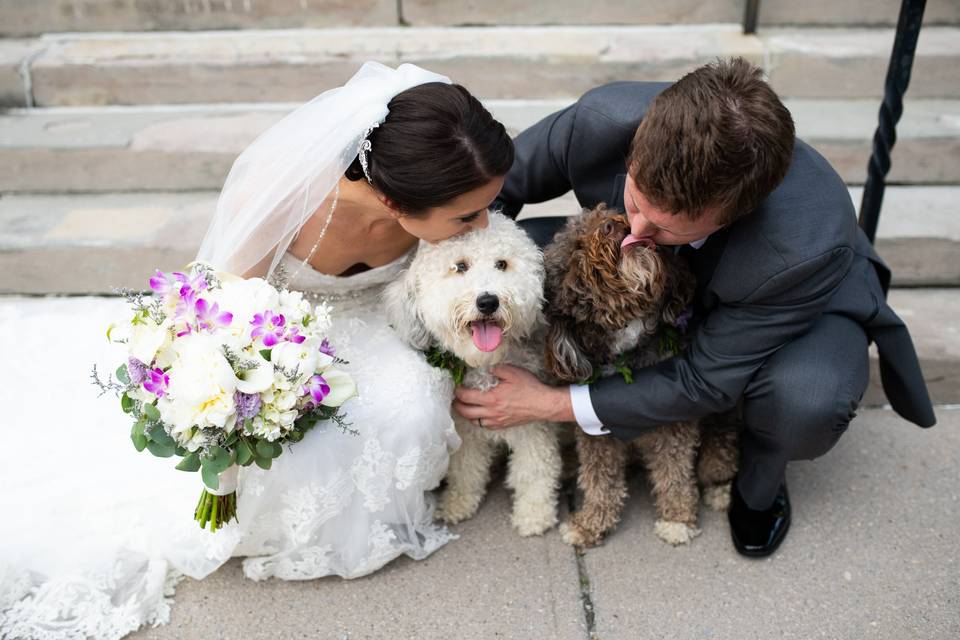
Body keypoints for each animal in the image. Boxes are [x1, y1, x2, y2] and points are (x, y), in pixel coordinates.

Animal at [384, 214, 564, 536]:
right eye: (460, 266)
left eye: (502, 264)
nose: (488, 301)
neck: (487, 364)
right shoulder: (465, 428)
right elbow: (465, 468)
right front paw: (458, 502)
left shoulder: (533, 424)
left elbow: (534, 471)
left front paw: (534, 514)